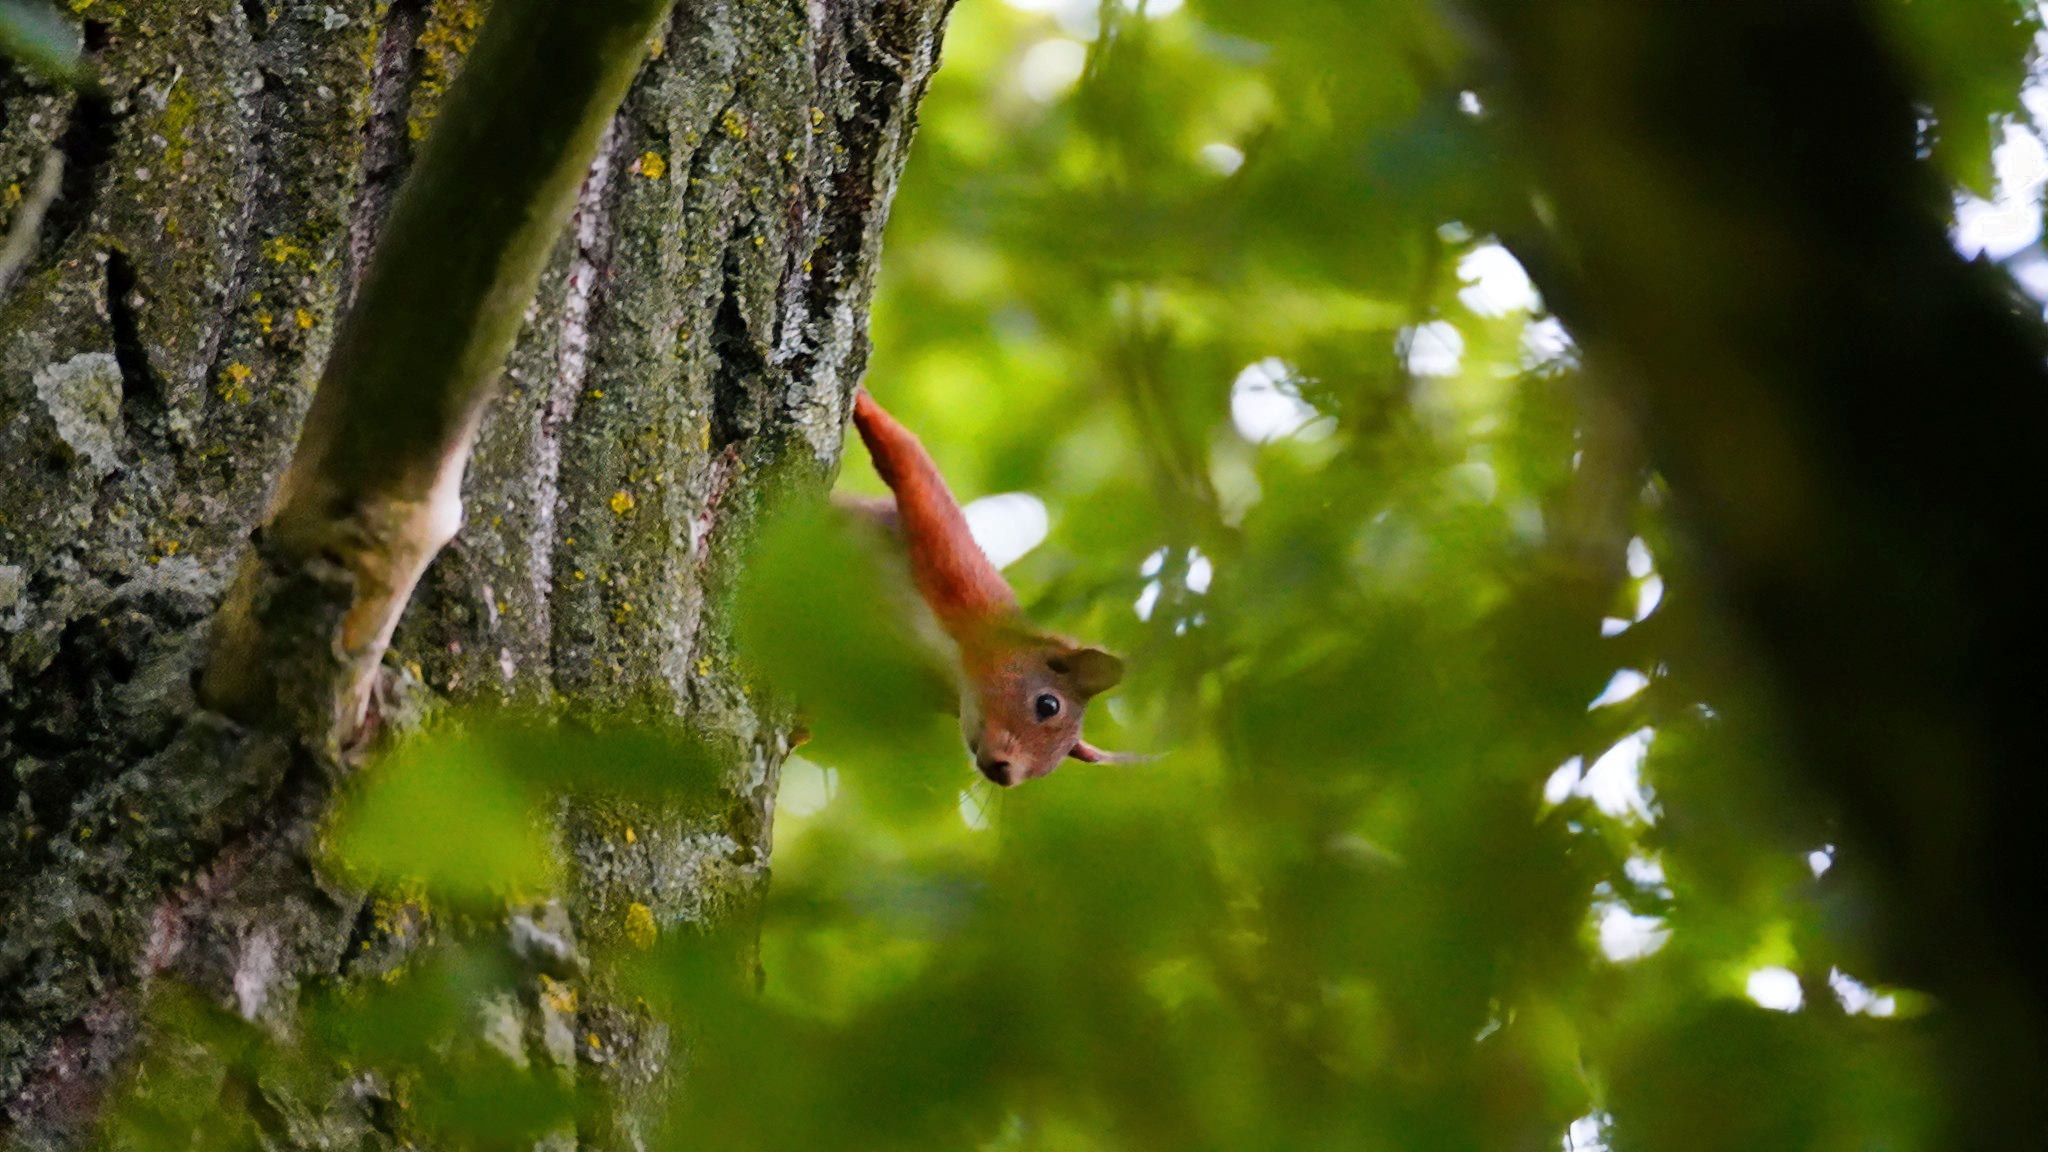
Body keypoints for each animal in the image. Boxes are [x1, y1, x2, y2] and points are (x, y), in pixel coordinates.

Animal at [847, 388, 1141, 787]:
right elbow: (910, 463)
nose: (1007, 775)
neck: (952, 667)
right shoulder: (959, 575)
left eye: (1056, 763)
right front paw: (864, 405)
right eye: (1048, 704)